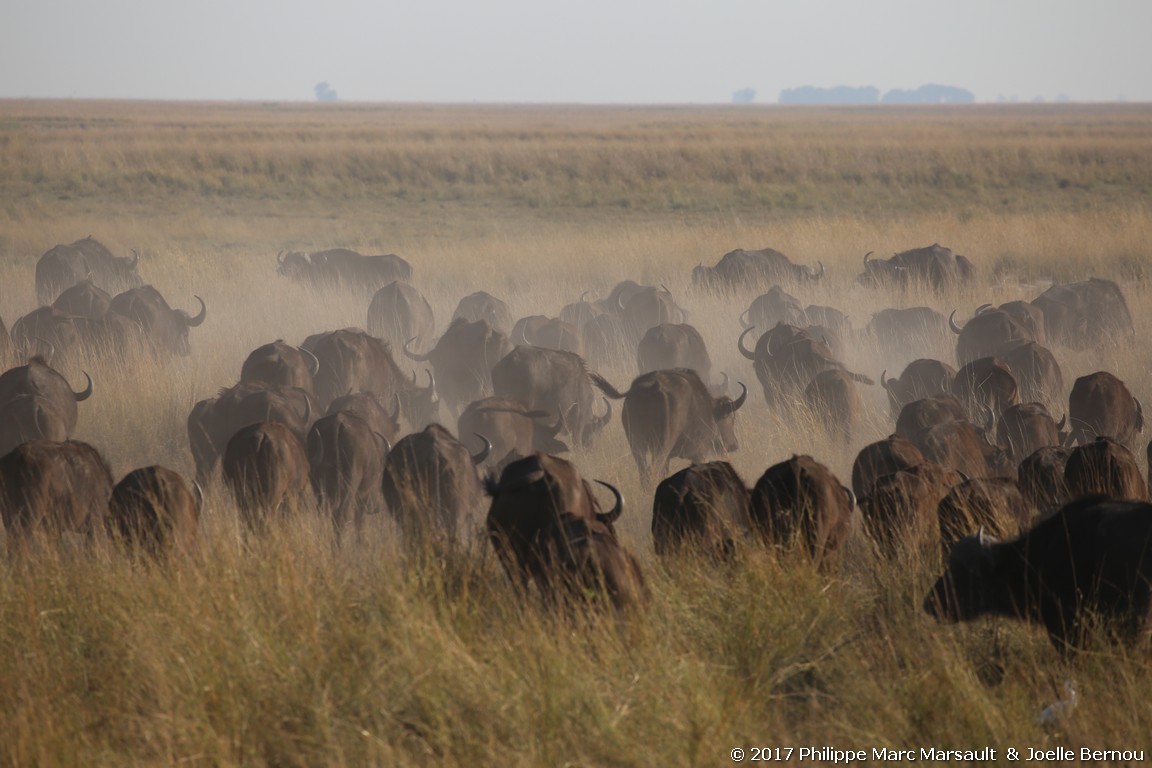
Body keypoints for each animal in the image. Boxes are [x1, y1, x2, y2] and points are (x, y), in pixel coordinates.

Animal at [306, 407, 391, 541]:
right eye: (379, 475)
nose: (376, 507)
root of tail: (338, 423)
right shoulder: (363, 494)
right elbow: (359, 518)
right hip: (351, 483)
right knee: (342, 512)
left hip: (321, 485)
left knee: (323, 511)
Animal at [594, 368, 746, 485]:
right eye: (731, 418)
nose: (734, 445)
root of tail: (654, 387)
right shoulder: (699, 453)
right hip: (662, 447)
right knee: (654, 469)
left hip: (637, 445)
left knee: (644, 472)